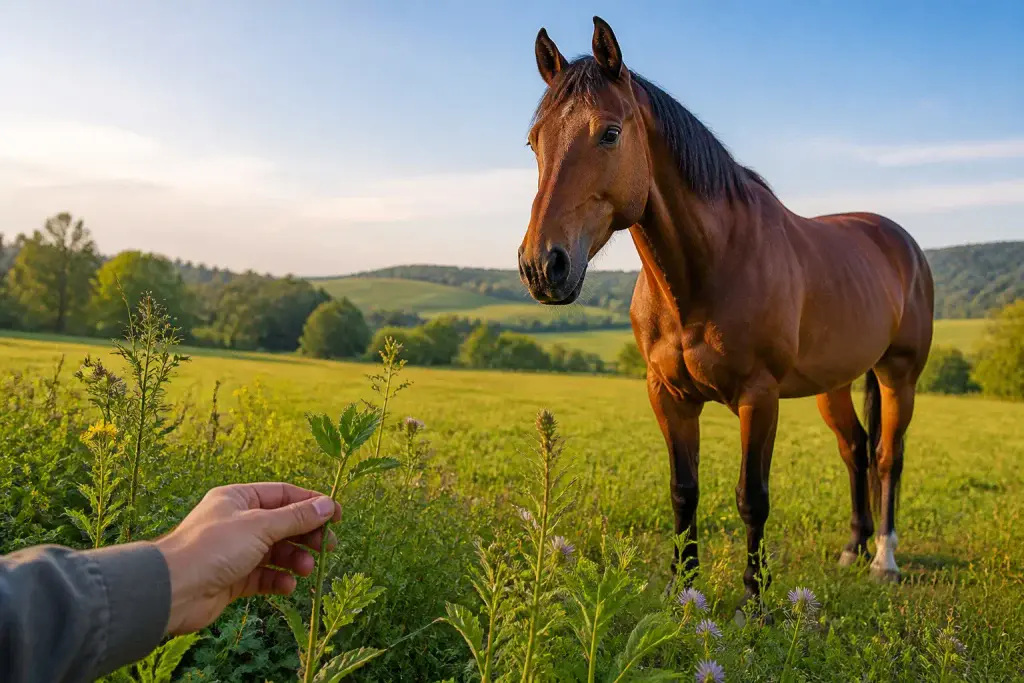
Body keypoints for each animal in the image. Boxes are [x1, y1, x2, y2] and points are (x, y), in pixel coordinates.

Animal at [517, 16, 934, 611]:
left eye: (610, 133)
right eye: (535, 142)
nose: (541, 265)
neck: (707, 269)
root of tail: (900, 241)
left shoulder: (759, 398)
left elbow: (751, 498)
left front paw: (756, 602)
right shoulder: (668, 397)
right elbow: (683, 491)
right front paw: (683, 592)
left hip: (900, 375)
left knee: (886, 457)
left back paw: (884, 560)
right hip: (835, 382)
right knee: (855, 448)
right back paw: (852, 549)